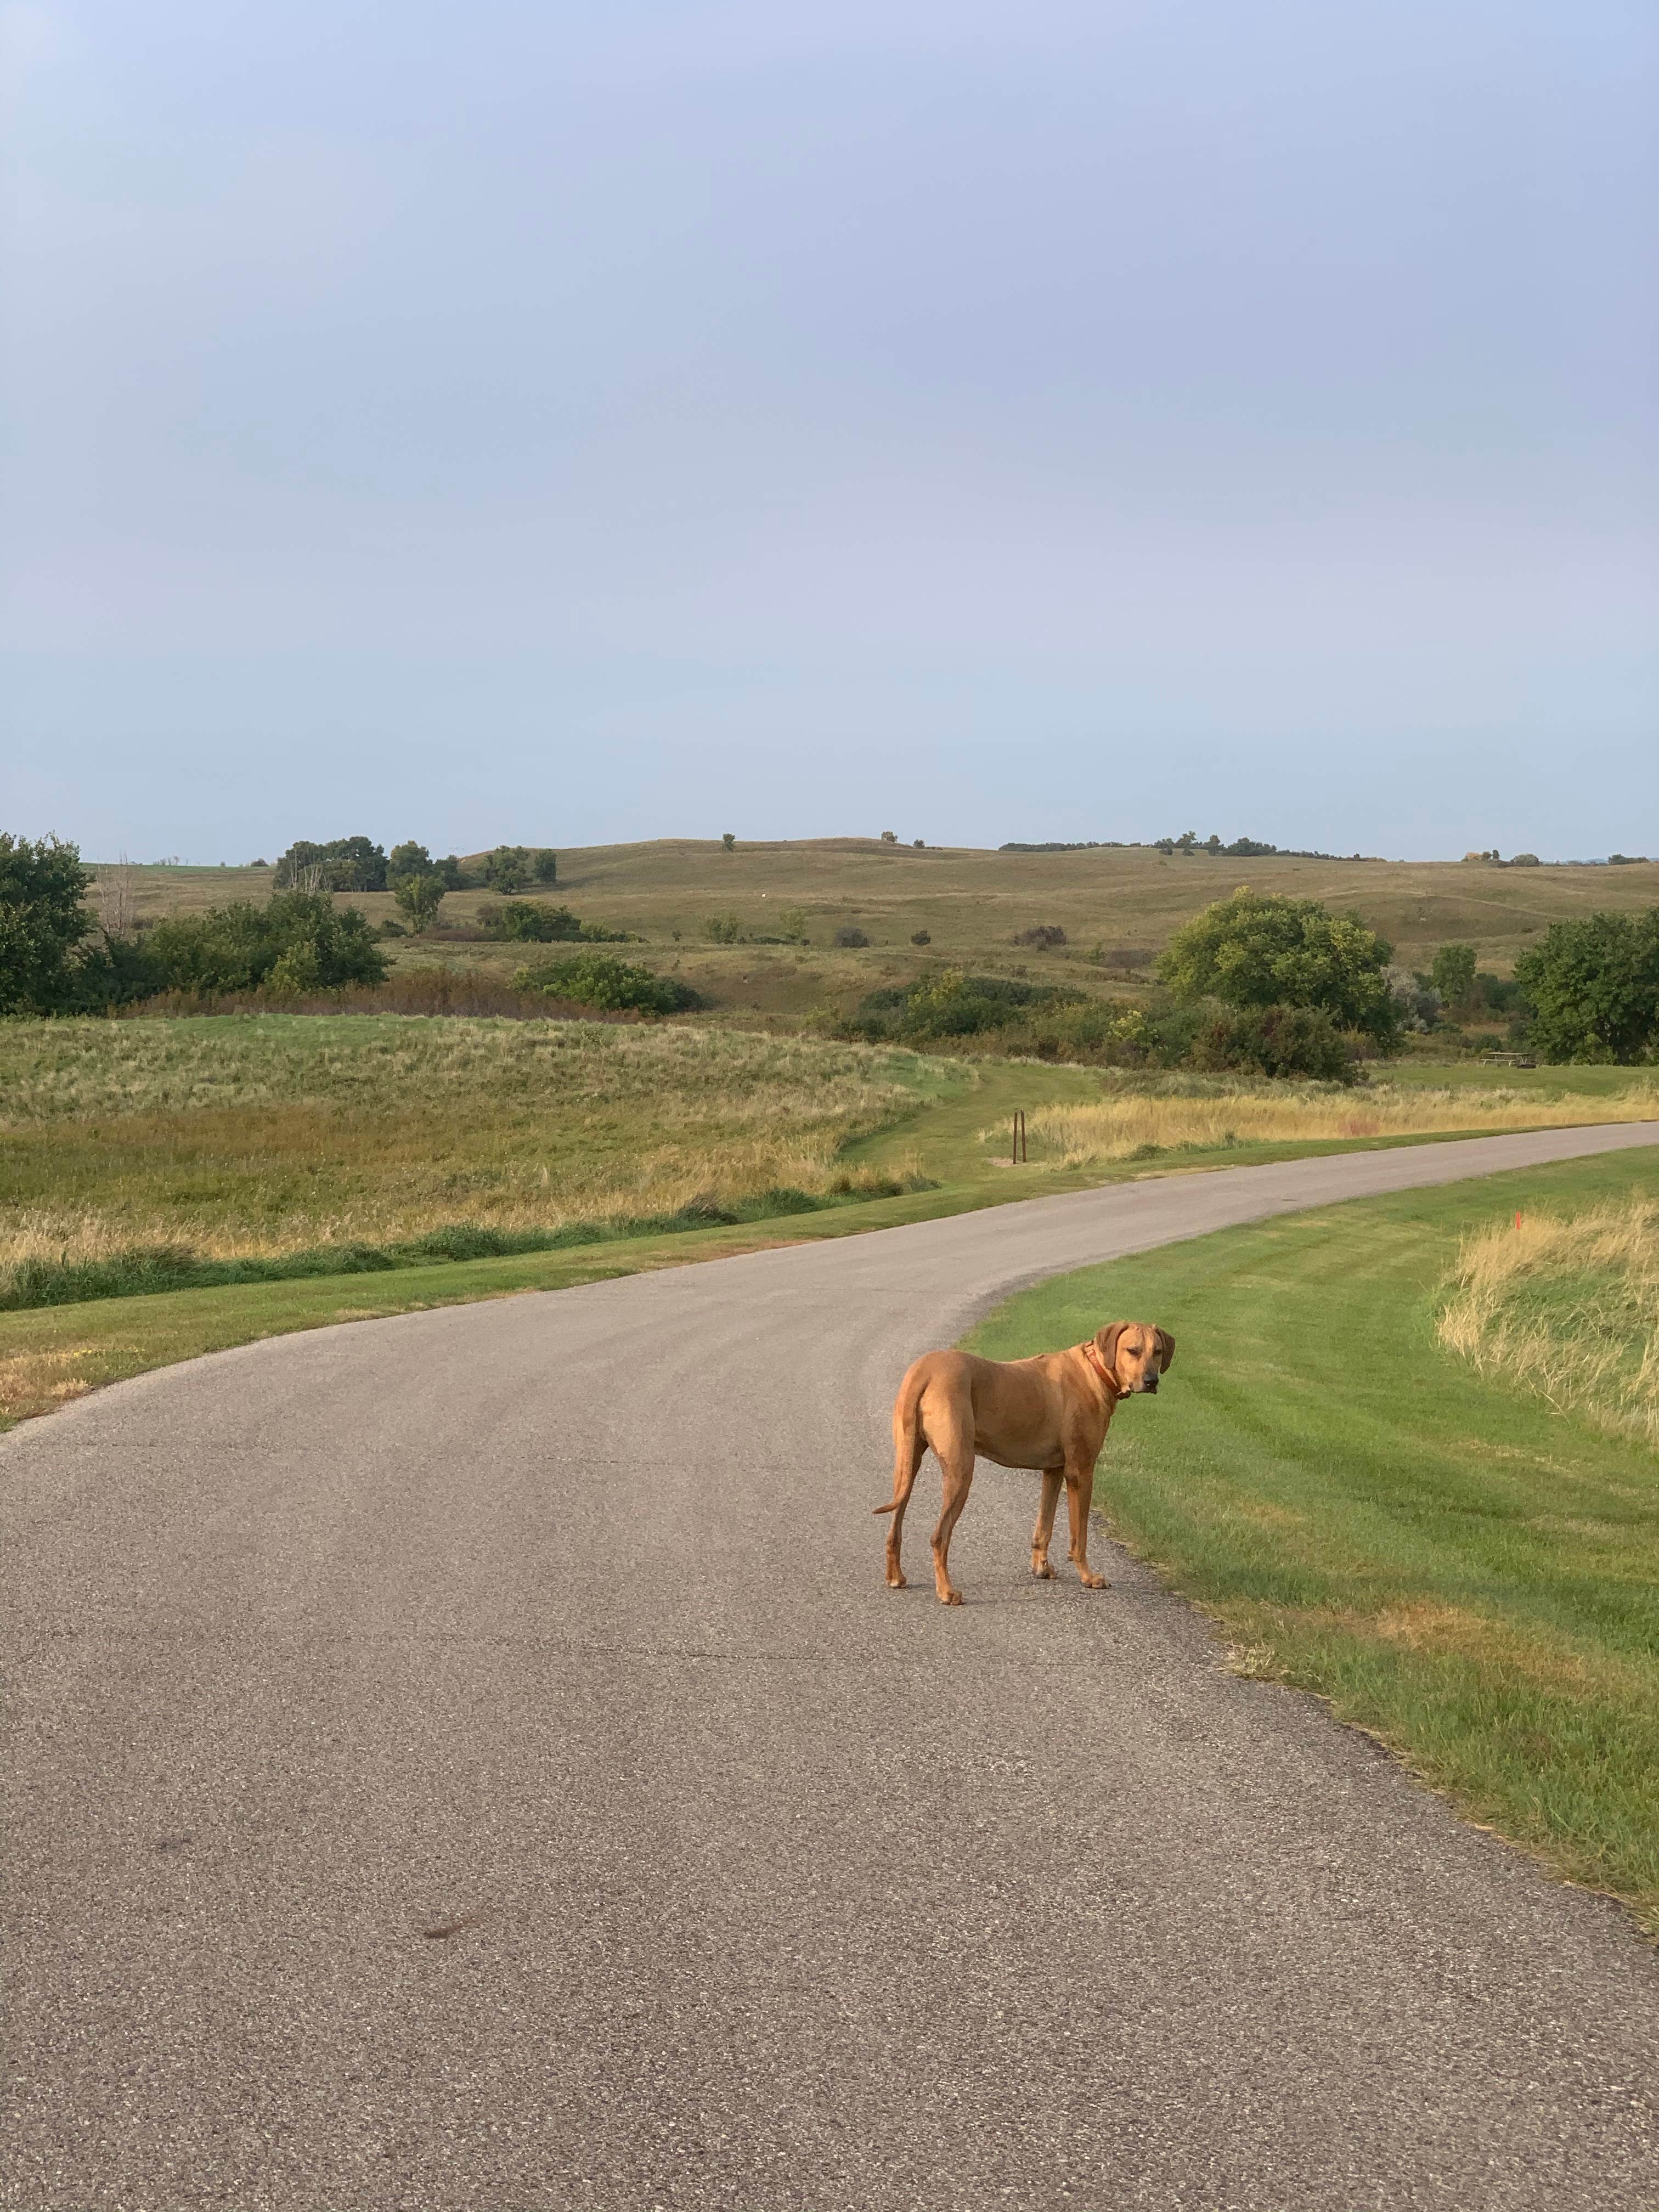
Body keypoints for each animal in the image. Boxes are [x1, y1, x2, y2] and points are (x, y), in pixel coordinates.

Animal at [876, 1318, 1177, 1601]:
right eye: (1132, 1350)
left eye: (1158, 1352)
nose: (1151, 1381)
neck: (1095, 1371)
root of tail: (924, 1370)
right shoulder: (1080, 1472)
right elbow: (1079, 1537)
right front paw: (1088, 1576)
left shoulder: (1054, 1470)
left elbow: (1044, 1525)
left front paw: (1042, 1568)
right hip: (960, 1470)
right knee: (939, 1536)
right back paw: (947, 1592)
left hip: (906, 1464)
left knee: (894, 1526)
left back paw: (896, 1577)